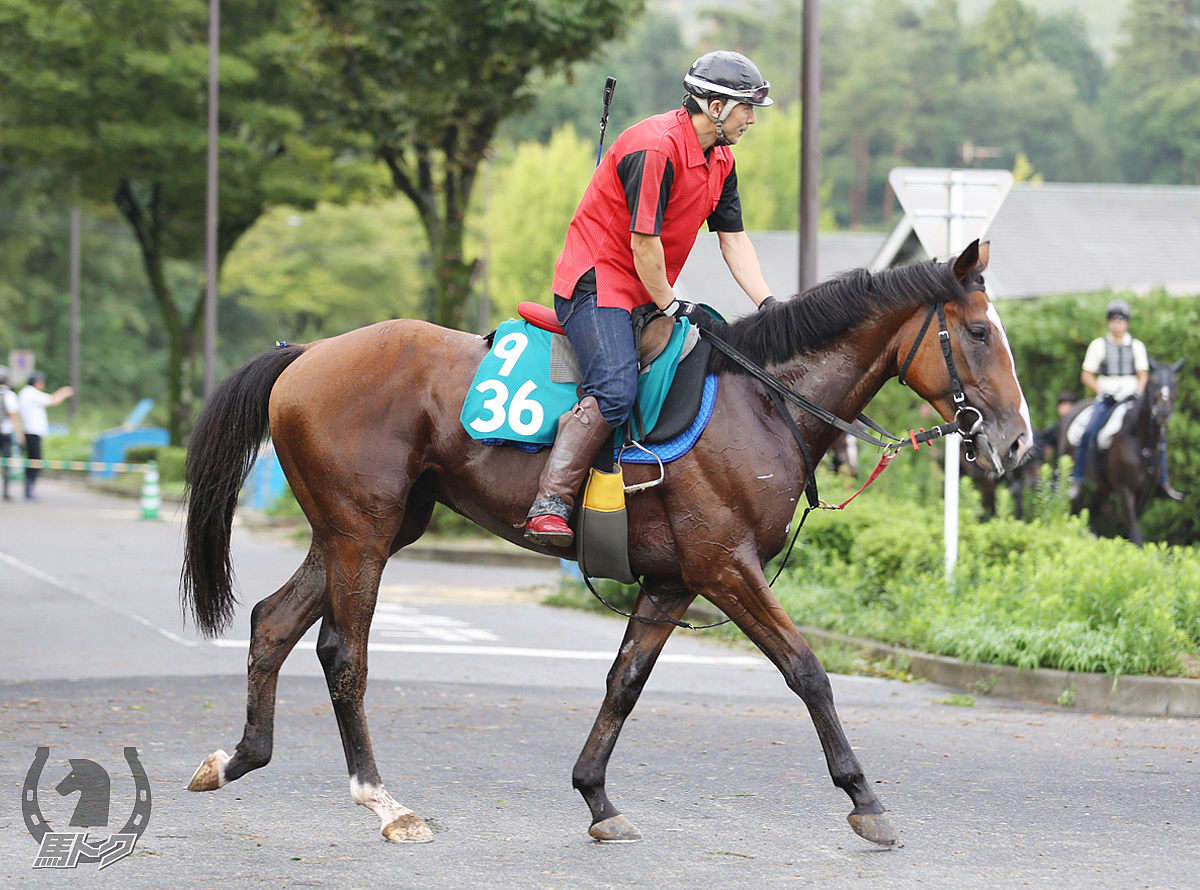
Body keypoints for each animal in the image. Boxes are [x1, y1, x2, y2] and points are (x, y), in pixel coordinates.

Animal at [180, 241, 1032, 854]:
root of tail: (306, 355)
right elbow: (808, 672)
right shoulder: (727, 568)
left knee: (272, 623)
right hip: (362, 531)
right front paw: (864, 797)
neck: (761, 400)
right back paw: (383, 801)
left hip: (362, 530)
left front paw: (595, 795)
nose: (1018, 442)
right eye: (979, 331)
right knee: (342, 654)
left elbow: (624, 684)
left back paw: (238, 757)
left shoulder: (674, 581)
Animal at [1060, 359, 1180, 546]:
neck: (1144, 443)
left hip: (1103, 485)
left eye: (1174, 383)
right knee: (1078, 507)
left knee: (1091, 510)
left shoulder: (1145, 491)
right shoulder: (1124, 488)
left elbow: (1129, 530)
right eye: (1153, 382)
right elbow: (1135, 534)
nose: (1163, 413)